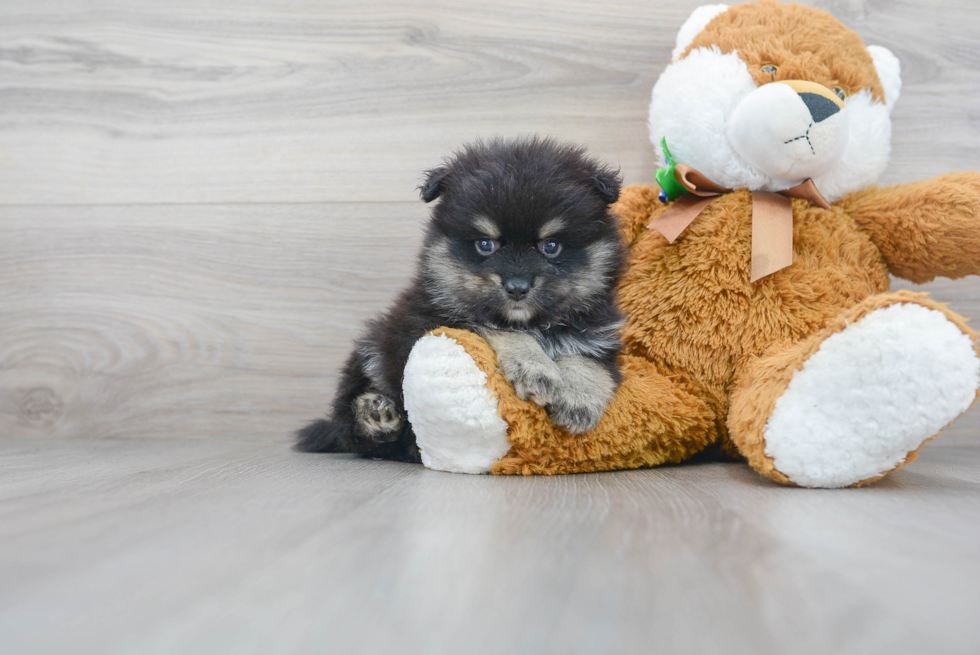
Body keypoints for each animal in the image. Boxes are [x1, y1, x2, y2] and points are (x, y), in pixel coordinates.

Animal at [294, 136, 624, 464]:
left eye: (551, 246)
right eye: (485, 244)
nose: (517, 287)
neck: (535, 323)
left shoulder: (599, 332)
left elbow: (588, 359)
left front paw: (579, 397)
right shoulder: (433, 323)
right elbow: (496, 328)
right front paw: (535, 367)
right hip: (372, 350)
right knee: (351, 427)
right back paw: (375, 415)